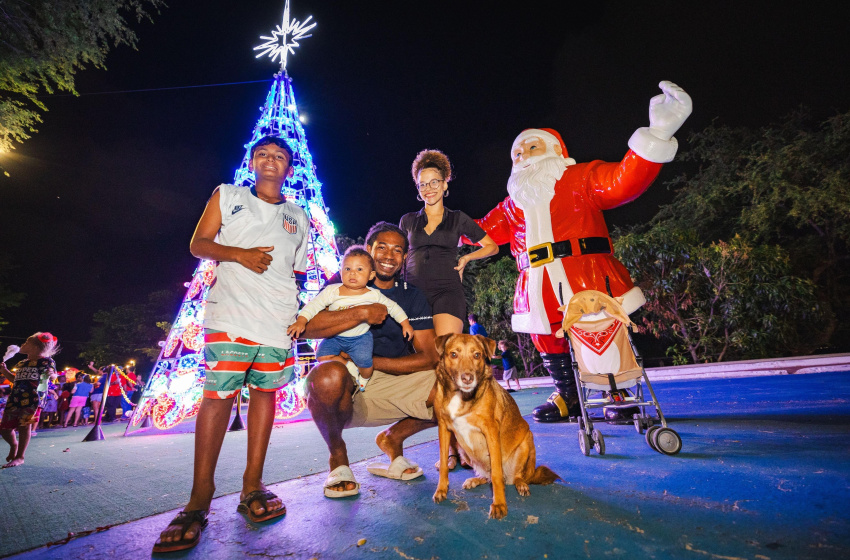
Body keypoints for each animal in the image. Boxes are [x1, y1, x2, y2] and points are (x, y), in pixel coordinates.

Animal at [430, 332, 556, 520]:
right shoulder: (444, 429)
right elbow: (444, 464)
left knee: (513, 476)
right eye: (453, 354)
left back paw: (521, 484)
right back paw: (476, 480)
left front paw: (499, 504)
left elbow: (496, 473)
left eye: (477, 355)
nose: (468, 378)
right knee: (488, 476)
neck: (461, 396)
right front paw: (441, 490)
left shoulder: (491, 431)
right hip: (462, 449)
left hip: (527, 440)